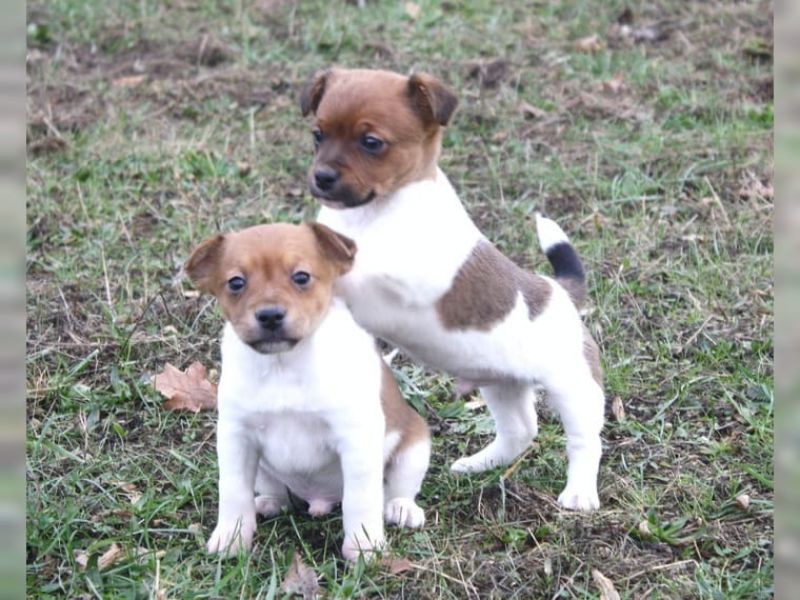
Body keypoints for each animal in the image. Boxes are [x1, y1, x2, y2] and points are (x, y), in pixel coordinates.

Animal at [185, 222, 430, 560]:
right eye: (236, 282)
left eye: (301, 277)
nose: (270, 315)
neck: (283, 366)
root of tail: (320, 500)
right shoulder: (237, 437)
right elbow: (233, 492)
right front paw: (231, 537)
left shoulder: (355, 438)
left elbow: (361, 499)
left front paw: (364, 545)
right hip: (262, 469)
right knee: (275, 491)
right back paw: (269, 502)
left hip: (415, 447)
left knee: (397, 489)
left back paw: (401, 508)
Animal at [300, 68, 604, 511]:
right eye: (318, 135)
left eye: (371, 143)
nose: (321, 178)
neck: (374, 214)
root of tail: (561, 292)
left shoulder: (406, 288)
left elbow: (358, 277)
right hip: (501, 383)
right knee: (520, 429)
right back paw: (480, 465)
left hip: (573, 387)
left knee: (585, 440)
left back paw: (579, 492)